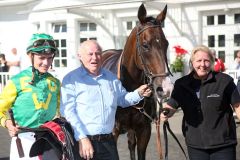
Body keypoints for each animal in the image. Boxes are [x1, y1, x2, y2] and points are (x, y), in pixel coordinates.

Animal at [101, 3, 171, 159]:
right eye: (145, 45)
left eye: (166, 43)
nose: (166, 87)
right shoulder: (113, 132)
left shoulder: (144, 129)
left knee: (131, 144)